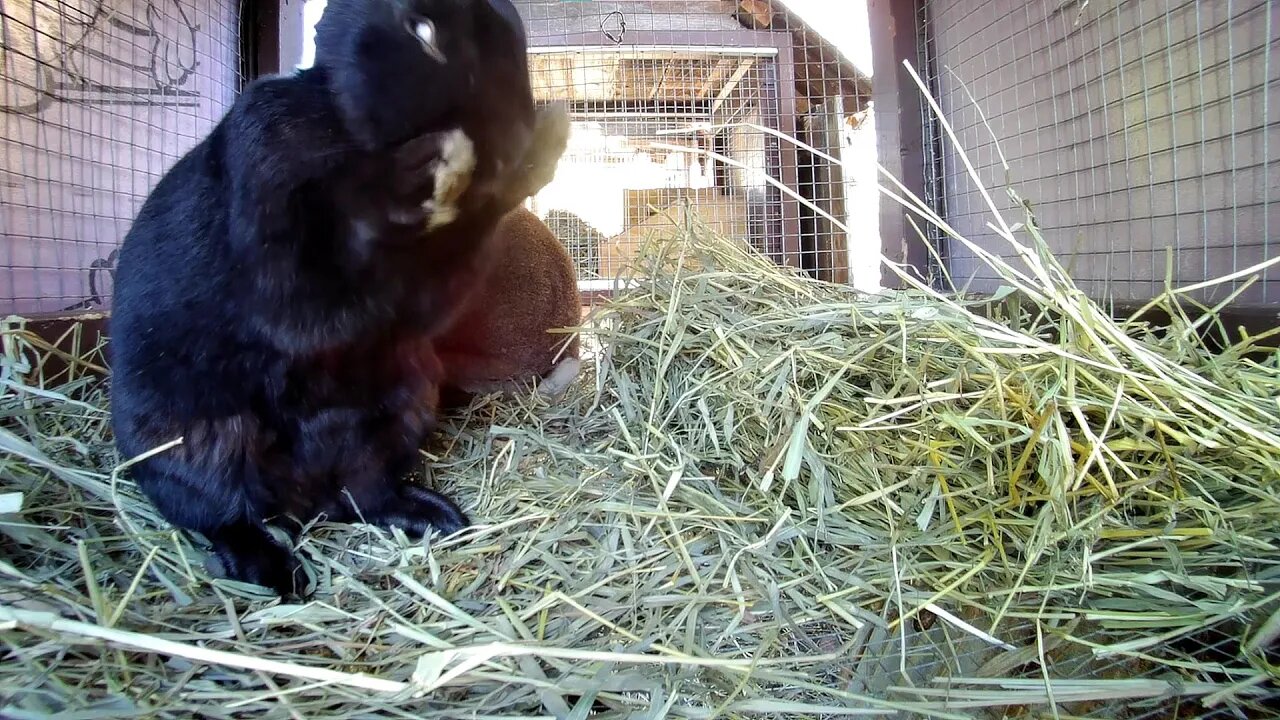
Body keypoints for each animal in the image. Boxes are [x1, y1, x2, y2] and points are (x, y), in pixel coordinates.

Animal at [112, 0, 563, 594]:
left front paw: (546, 140)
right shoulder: (272, 204)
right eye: (425, 33)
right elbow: (329, 283)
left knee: (361, 495)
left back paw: (435, 517)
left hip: (402, 406)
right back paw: (278, 575)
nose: (518, 132)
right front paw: (439, 169)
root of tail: (303, 501)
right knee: (225, 517)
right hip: (192, 443)